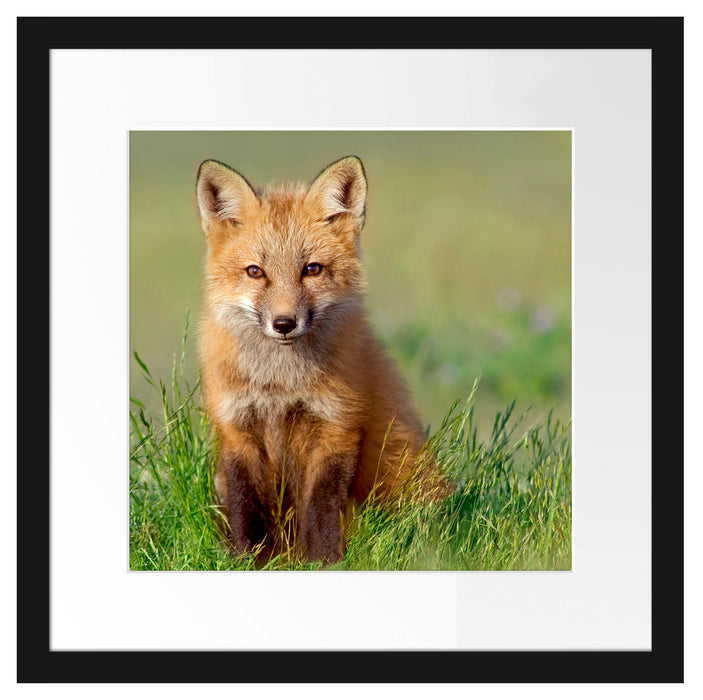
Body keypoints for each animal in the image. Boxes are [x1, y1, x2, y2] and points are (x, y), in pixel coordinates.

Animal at [196, 155, 445, 563]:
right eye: (255, 272)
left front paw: (322, 562)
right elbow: (246, 508)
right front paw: (248, 562)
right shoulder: (237, 428)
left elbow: (321, 507)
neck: (280, 385)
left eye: (311, 269)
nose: (284, 324)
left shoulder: (337, 425)